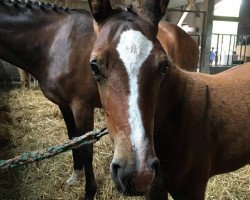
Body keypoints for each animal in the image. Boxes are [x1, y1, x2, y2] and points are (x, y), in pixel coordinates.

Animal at [87, 0, 250, 198]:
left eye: (164, 66)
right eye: (94, 67)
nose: (138, 174)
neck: (178, 117)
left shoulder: (192, 189)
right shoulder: (155, 188)